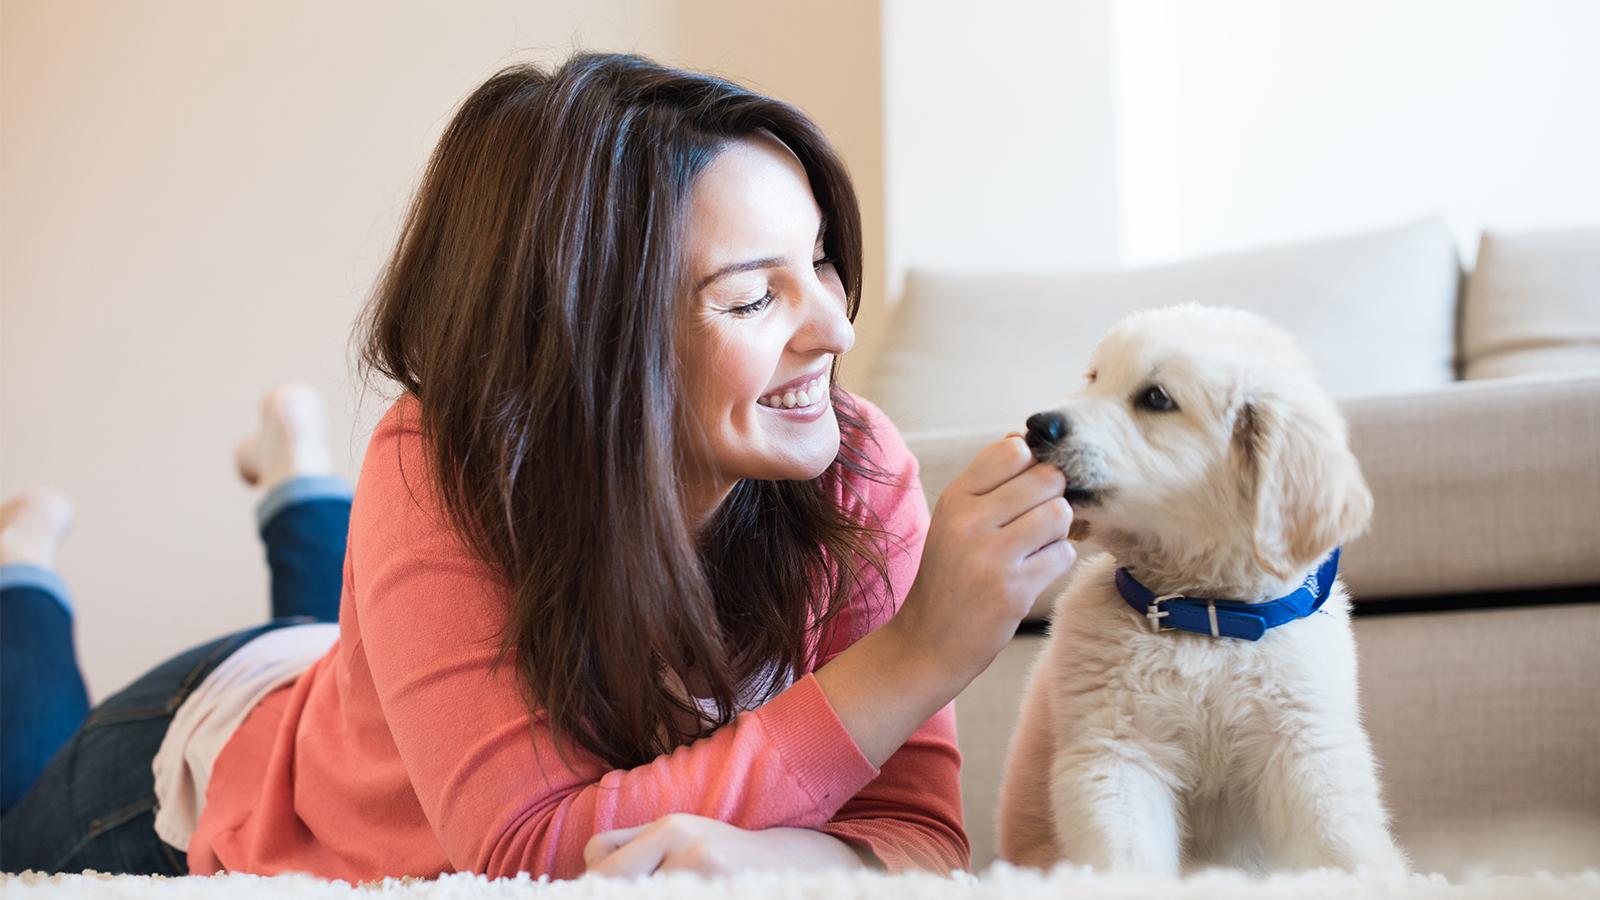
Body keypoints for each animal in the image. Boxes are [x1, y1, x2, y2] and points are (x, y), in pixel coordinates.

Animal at [992, 304, 1408, 871]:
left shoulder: (1304, 745)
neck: (1204, 614)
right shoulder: (1118, 750)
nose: (1037, 425)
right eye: (1094, 378)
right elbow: (1127, 858)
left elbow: (1338, 844)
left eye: (1156, 398)